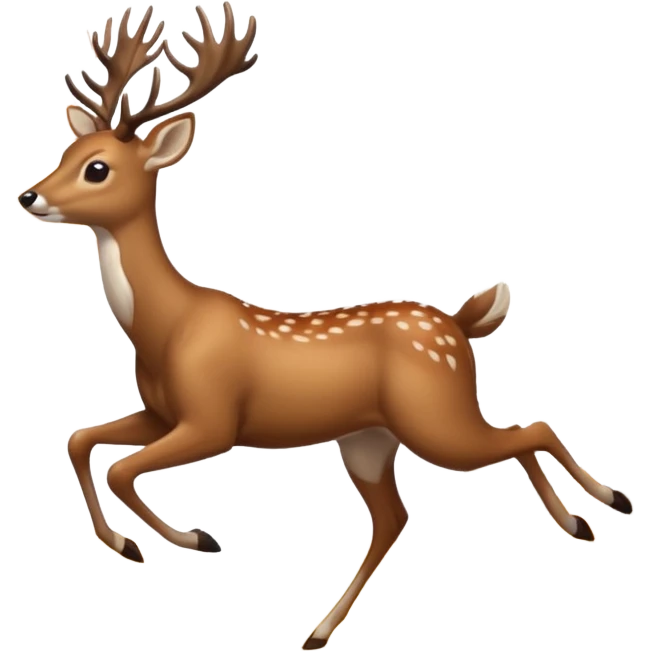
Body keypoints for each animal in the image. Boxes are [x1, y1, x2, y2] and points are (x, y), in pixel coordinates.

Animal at [17, 2, 634, 649]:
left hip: (435, 415)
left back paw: (602, 505)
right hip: (368, 438)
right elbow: (81, 440)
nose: (28, 195)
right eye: (65, 153)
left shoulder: (213, 419)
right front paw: (129, 545)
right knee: (398, 513)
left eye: (97, 169)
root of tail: (460, 327)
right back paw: (320, 628)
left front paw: (192, 539)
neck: (166, 328)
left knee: (527, 430)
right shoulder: (161, 413)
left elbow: (120, 467)